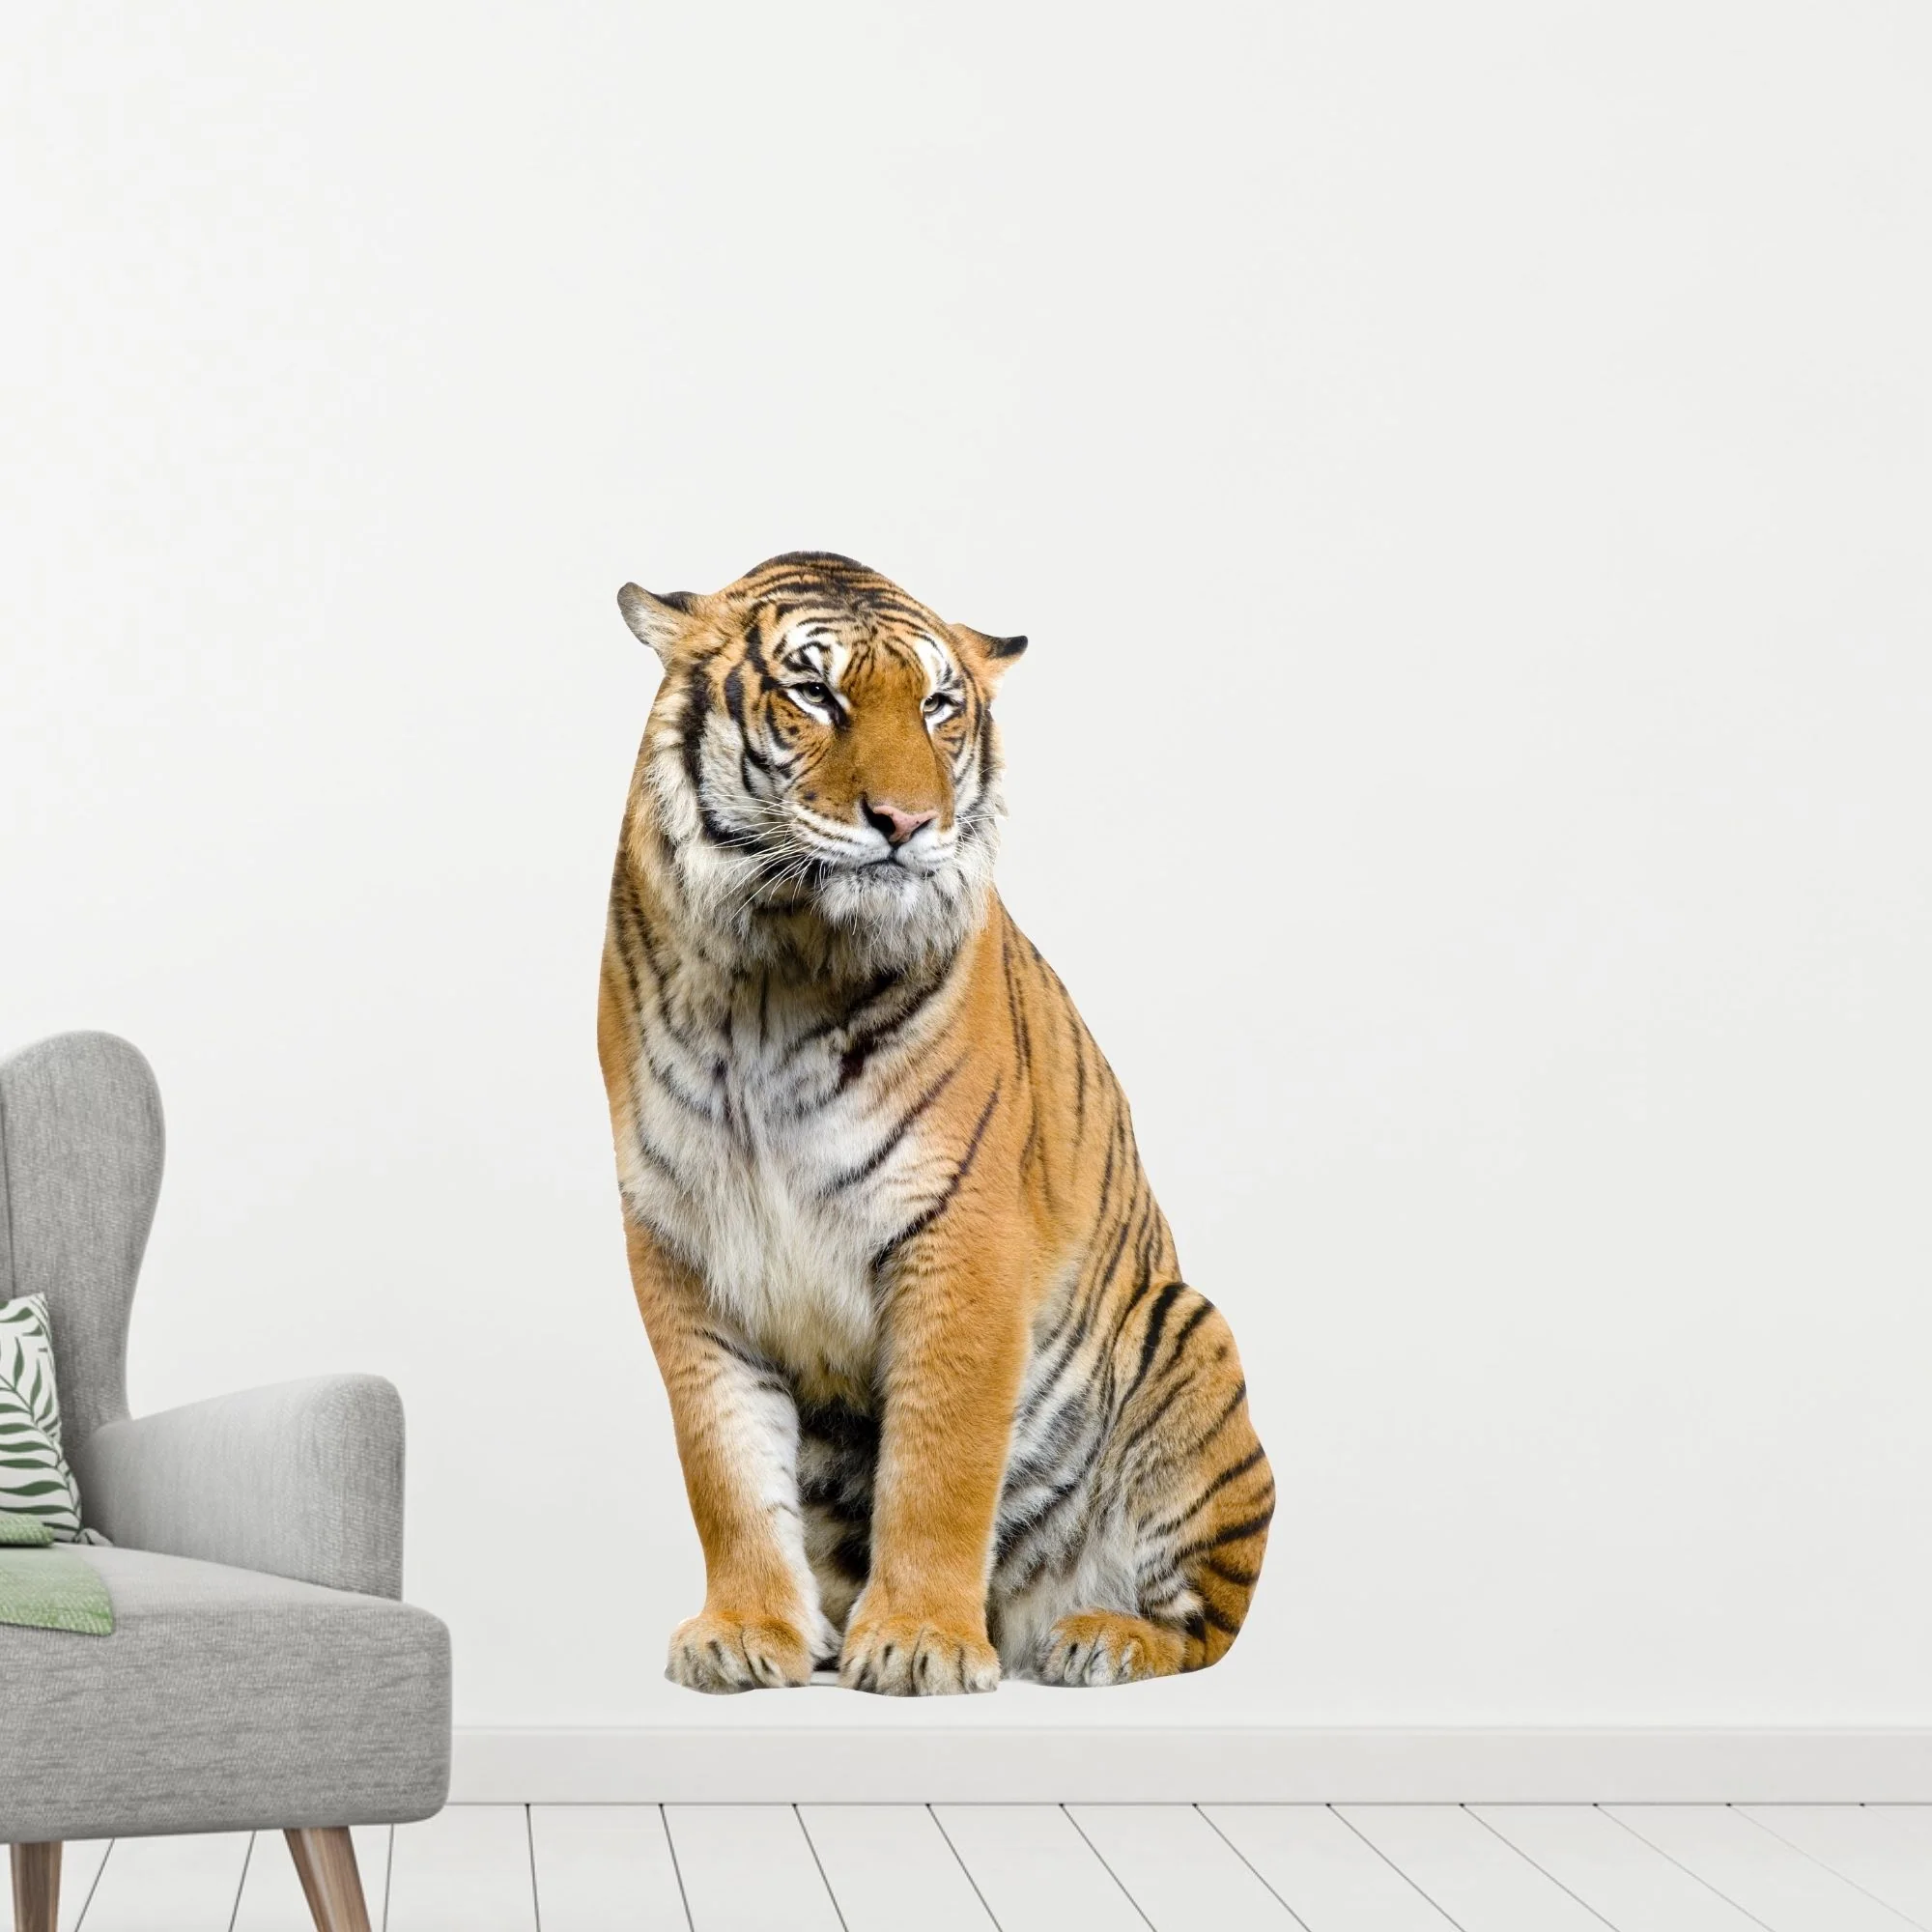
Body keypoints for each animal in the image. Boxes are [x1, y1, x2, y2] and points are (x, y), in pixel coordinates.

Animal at [597, 552, 1273, 1695]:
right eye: (814, 693)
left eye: (937, 705)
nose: (906, 824)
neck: (773, 974)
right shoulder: (681, 1242)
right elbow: (723, 1462)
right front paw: (745, 1631)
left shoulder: (959, 1231)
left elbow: (939, 1460)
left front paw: (917, 1639)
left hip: (1189, 1334)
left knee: (1206, 1626)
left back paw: (1099, 1637)